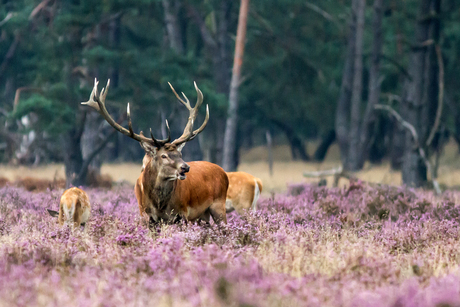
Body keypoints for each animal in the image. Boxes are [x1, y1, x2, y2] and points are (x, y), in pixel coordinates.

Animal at [82, 79, 228, 229]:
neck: (160, 205)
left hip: (218, 206)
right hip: (203, 216)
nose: (185, 167)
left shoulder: (182, 214)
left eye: (180, 154)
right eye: (163, 156)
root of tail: (223, 172)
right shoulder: (148, 217)